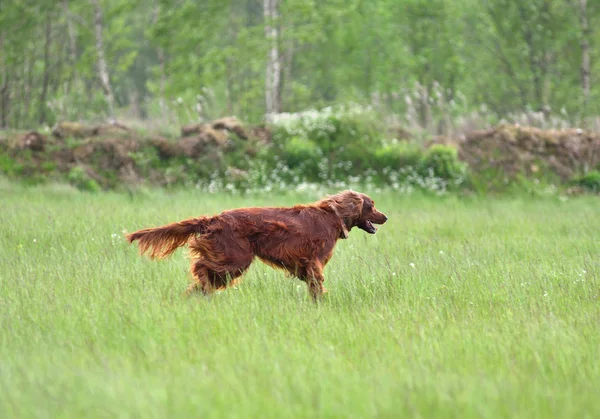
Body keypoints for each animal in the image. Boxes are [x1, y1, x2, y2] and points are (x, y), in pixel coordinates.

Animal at [126, 190, 390, 298]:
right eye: (372, 205)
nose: (386, 217)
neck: (332, 217)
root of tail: (214, 218)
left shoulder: (306, 265)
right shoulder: (313, 262)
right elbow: (317, 285)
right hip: (236, 258)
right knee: (202, 268)